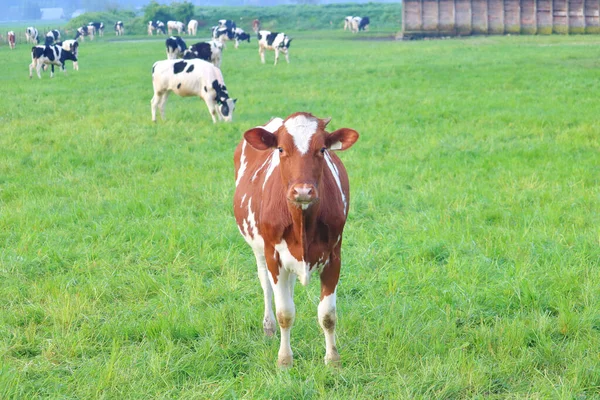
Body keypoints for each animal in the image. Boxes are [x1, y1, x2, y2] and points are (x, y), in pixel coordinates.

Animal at [232, 111, 358, 368]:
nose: (302, 191)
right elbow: (285, 313)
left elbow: (327, 314)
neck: (303, 222)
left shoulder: (334, 256)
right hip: (259, 250)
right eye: (281, 148)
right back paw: (268, 327)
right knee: (266, 286)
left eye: (322, 149)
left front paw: (332, 360)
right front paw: (285, 360)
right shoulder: (273, 255)